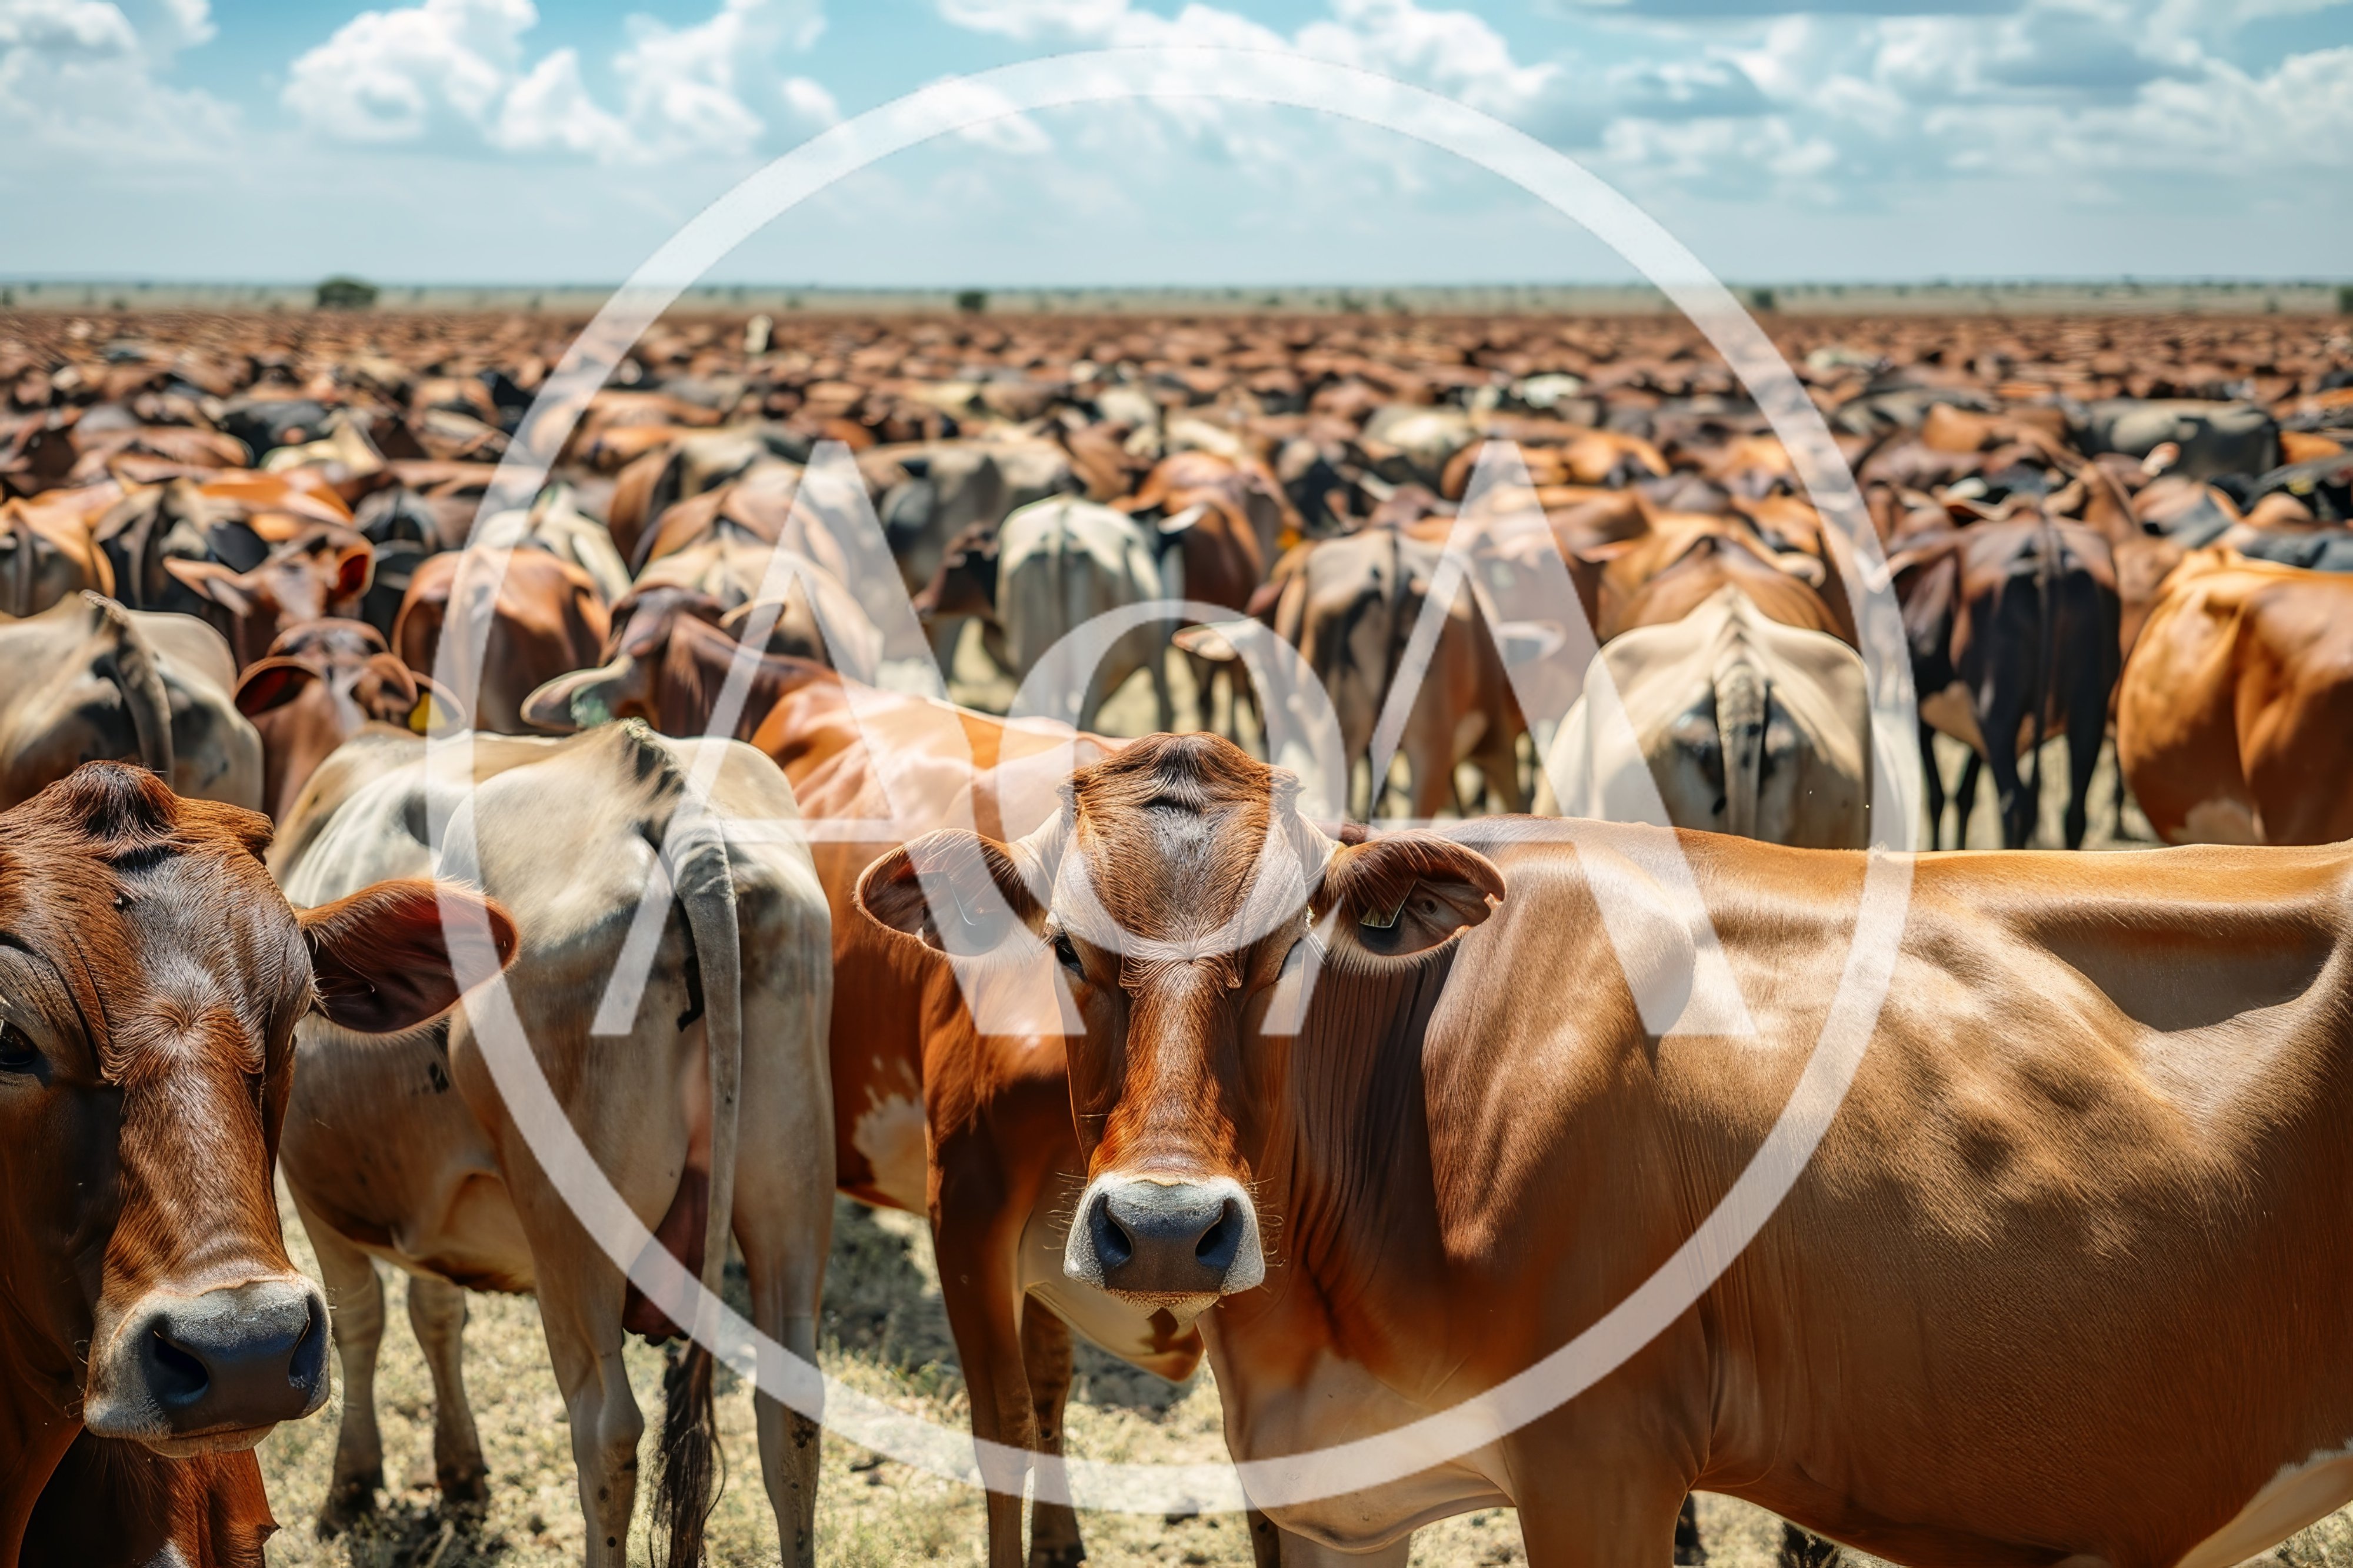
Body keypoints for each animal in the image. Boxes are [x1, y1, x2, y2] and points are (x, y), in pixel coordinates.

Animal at [273, 723, 833, 1568]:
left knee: (606, 1426)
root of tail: (657, 792)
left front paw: (352, 1487)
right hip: (790, 1194)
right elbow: (436, 1309)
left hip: (568, 1220)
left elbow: (359, 1319)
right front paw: (460, 1472)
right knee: (791, 1411)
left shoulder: (313, 1187)